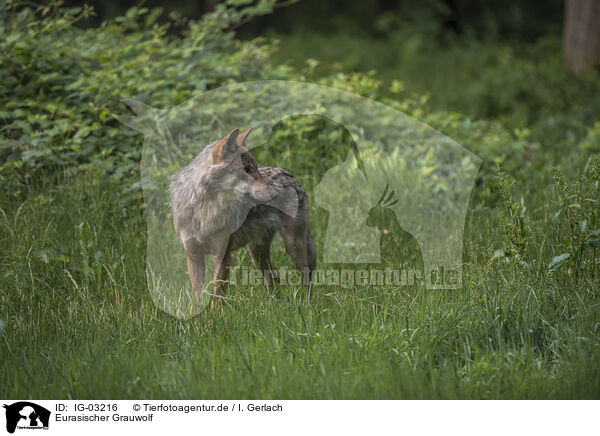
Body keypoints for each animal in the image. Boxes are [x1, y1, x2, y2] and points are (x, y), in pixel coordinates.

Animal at [169, 127, 316, 308]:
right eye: (246, 169)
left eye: (256, 168)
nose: (275, 193)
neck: (205, 212)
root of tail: (291, 176)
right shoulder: (193, 256)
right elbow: (198, 297)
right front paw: (197, 315)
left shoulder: (223, 257)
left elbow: (216, 296)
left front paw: (213, 315)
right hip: (257, 254)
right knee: (274, 279)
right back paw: (274, 307)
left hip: (293, 247)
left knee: (306, 279)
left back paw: (307, 307)